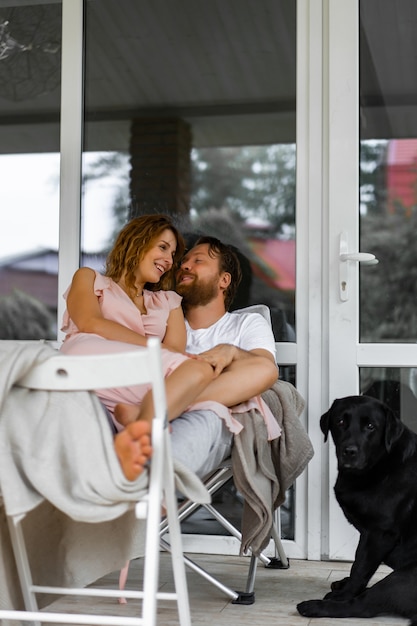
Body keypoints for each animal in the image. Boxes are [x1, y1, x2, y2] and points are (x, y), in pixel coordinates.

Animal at [298, 394, 417, 624]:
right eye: (340, 422)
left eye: (370, 426)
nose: (349, 451)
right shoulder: (368, 534)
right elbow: (358, 563)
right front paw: (345, 585)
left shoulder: (378, 533)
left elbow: (359, 568)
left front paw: (343, 594)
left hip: (403, 577)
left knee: (362, 607)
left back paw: (314, 606)